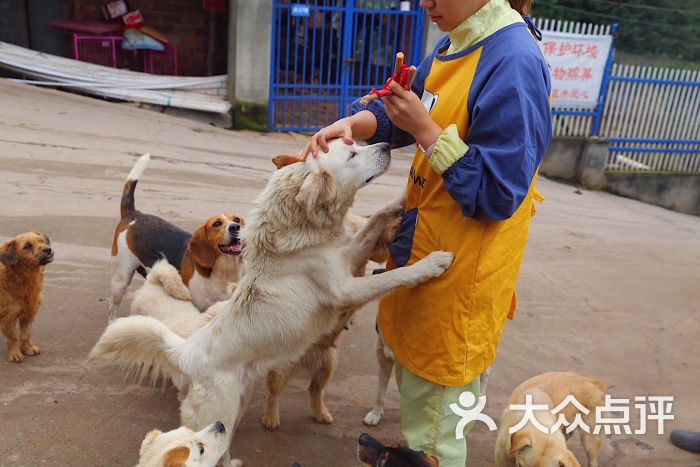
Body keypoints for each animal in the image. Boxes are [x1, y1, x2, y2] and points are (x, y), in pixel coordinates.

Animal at [0, 232, 54, 364]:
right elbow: (13, 337)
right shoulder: (8, 317)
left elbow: (25, 335)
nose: (48, 249)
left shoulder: (28, 313)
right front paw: (14, 353)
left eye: (41, 241)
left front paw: (28, 348)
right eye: (27, 246)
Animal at [106, 154, 243, 318]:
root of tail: (133, 214)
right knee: (112, 308)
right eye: (216, 224)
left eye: (237, 219)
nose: (235, 227)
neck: (225, 272)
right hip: (120, 278)